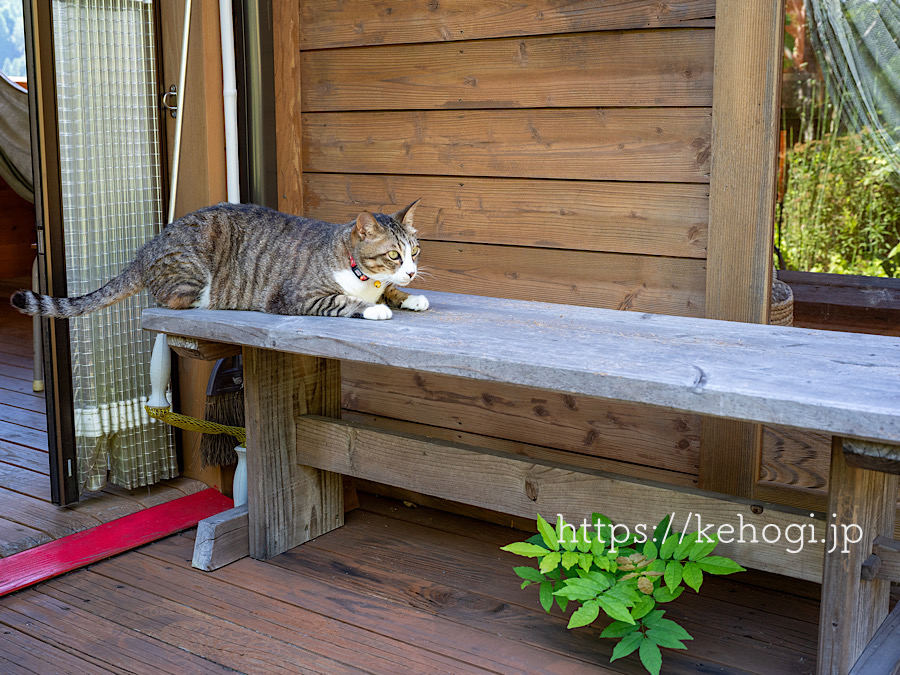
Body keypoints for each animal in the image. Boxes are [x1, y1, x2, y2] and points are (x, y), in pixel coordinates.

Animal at [9, 202, 432, 320]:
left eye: (415, 252)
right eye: (393, 254)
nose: (412, 270)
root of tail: (147, 248)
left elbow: (390, 291)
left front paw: (409, 296)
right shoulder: (295, 297)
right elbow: (345, 301)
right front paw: (374, 308)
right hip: (195, 266)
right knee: (169, 299)